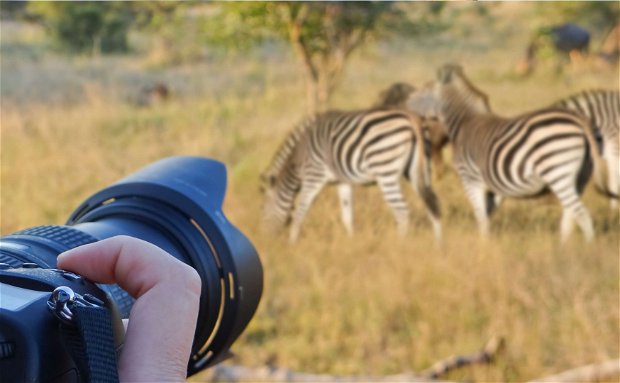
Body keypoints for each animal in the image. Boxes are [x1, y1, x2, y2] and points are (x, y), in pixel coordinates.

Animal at [260, 109, 440, 244]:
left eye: (264, 210)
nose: (267, 240)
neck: (299, 155)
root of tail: (412, 117)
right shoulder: (342, 182)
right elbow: (347, 216)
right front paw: (351, 242)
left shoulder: (314, 176)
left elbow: (301, 210)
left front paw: (292, 243)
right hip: (419, 170)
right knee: (433, 205)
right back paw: (439, 247)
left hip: (385, 170)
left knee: (402, 212)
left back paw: (399, 245)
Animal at [406, 63, 612, 243]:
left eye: (422, 91)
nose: (404, 106)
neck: (465, 123)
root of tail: (581, 121)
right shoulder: (495, 187)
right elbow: (488, 215)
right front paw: (487, 244)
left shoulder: (471, 180)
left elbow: (481, 217)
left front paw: (483, 247)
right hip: (579, 178)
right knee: (570, 216)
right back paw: (563, 249)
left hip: (557, 171)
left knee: (583, 215)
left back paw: (585, 250)